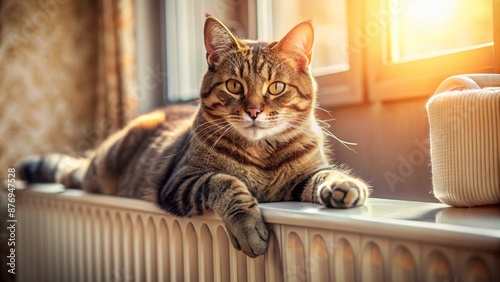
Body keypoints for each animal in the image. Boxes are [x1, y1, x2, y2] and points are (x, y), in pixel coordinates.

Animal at [17, 15, 370, 258]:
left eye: (276, 87)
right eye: (234, 86)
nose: (254, 110)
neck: (261, 153)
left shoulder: (303, 177)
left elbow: (325, 174)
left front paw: (343, 186)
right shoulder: (180, 181)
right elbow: (226, 182)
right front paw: (248, 227)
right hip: (103, 167)